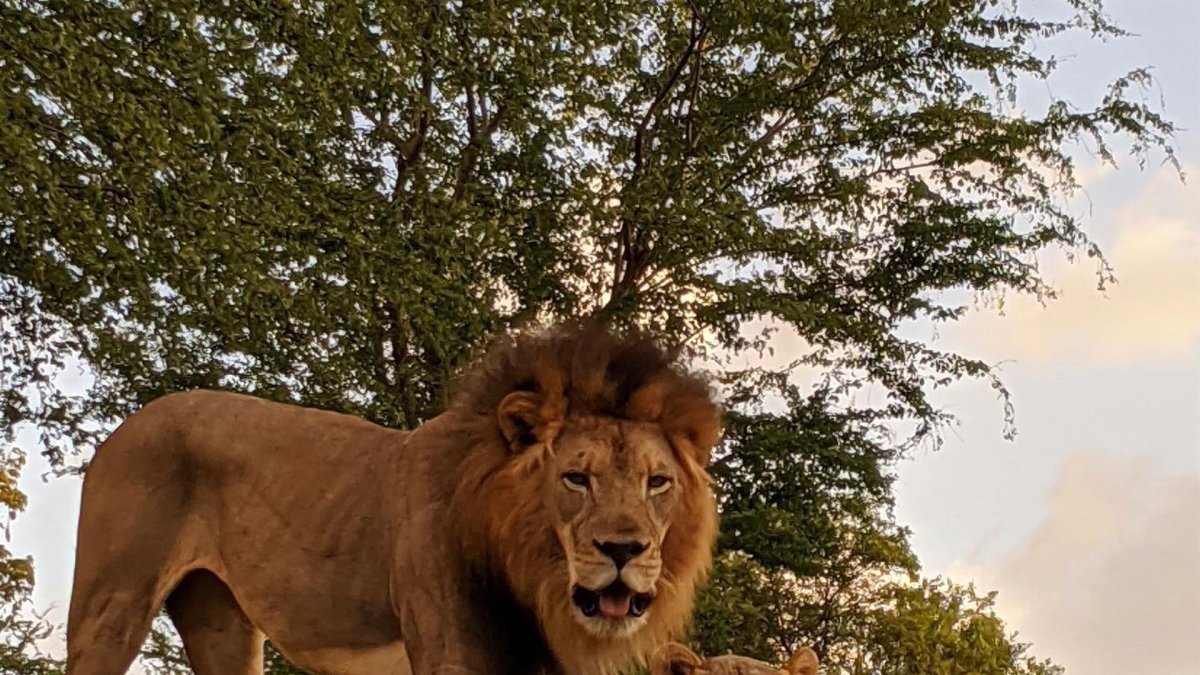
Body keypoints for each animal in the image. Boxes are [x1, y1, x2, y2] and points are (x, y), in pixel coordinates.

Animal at [65, 323, 720, 675]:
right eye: (576, 479)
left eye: (656, 483)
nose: (624, 550)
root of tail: (126, 426)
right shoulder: (452, 651)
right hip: (110, 607)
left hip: (222, 622)